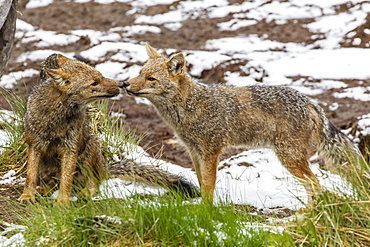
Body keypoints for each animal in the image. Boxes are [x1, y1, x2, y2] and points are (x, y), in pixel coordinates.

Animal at [19, 53, 199, 205]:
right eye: (94, 82)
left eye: (100, 76)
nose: (122, 84)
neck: (56, 119)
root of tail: (103, 168)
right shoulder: (34, 145)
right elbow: (30, 175)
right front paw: (27, 195)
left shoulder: (70, 147)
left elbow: (66, 181)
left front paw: (62, 202)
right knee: (54, 182)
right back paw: (44, 189)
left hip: (91, 145)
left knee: (92, 182)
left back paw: (85, 192)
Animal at [123, 44, 360, 201]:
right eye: (139, 73)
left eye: (151, 79)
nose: (125, 84)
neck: (190, 105)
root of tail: (310, 102)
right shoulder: (194, 151)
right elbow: (200, 182)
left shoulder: (211, 152)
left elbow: (208, 186)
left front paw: (205, 212)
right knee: (314, 186)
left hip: (289, 159)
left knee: (315, 185)